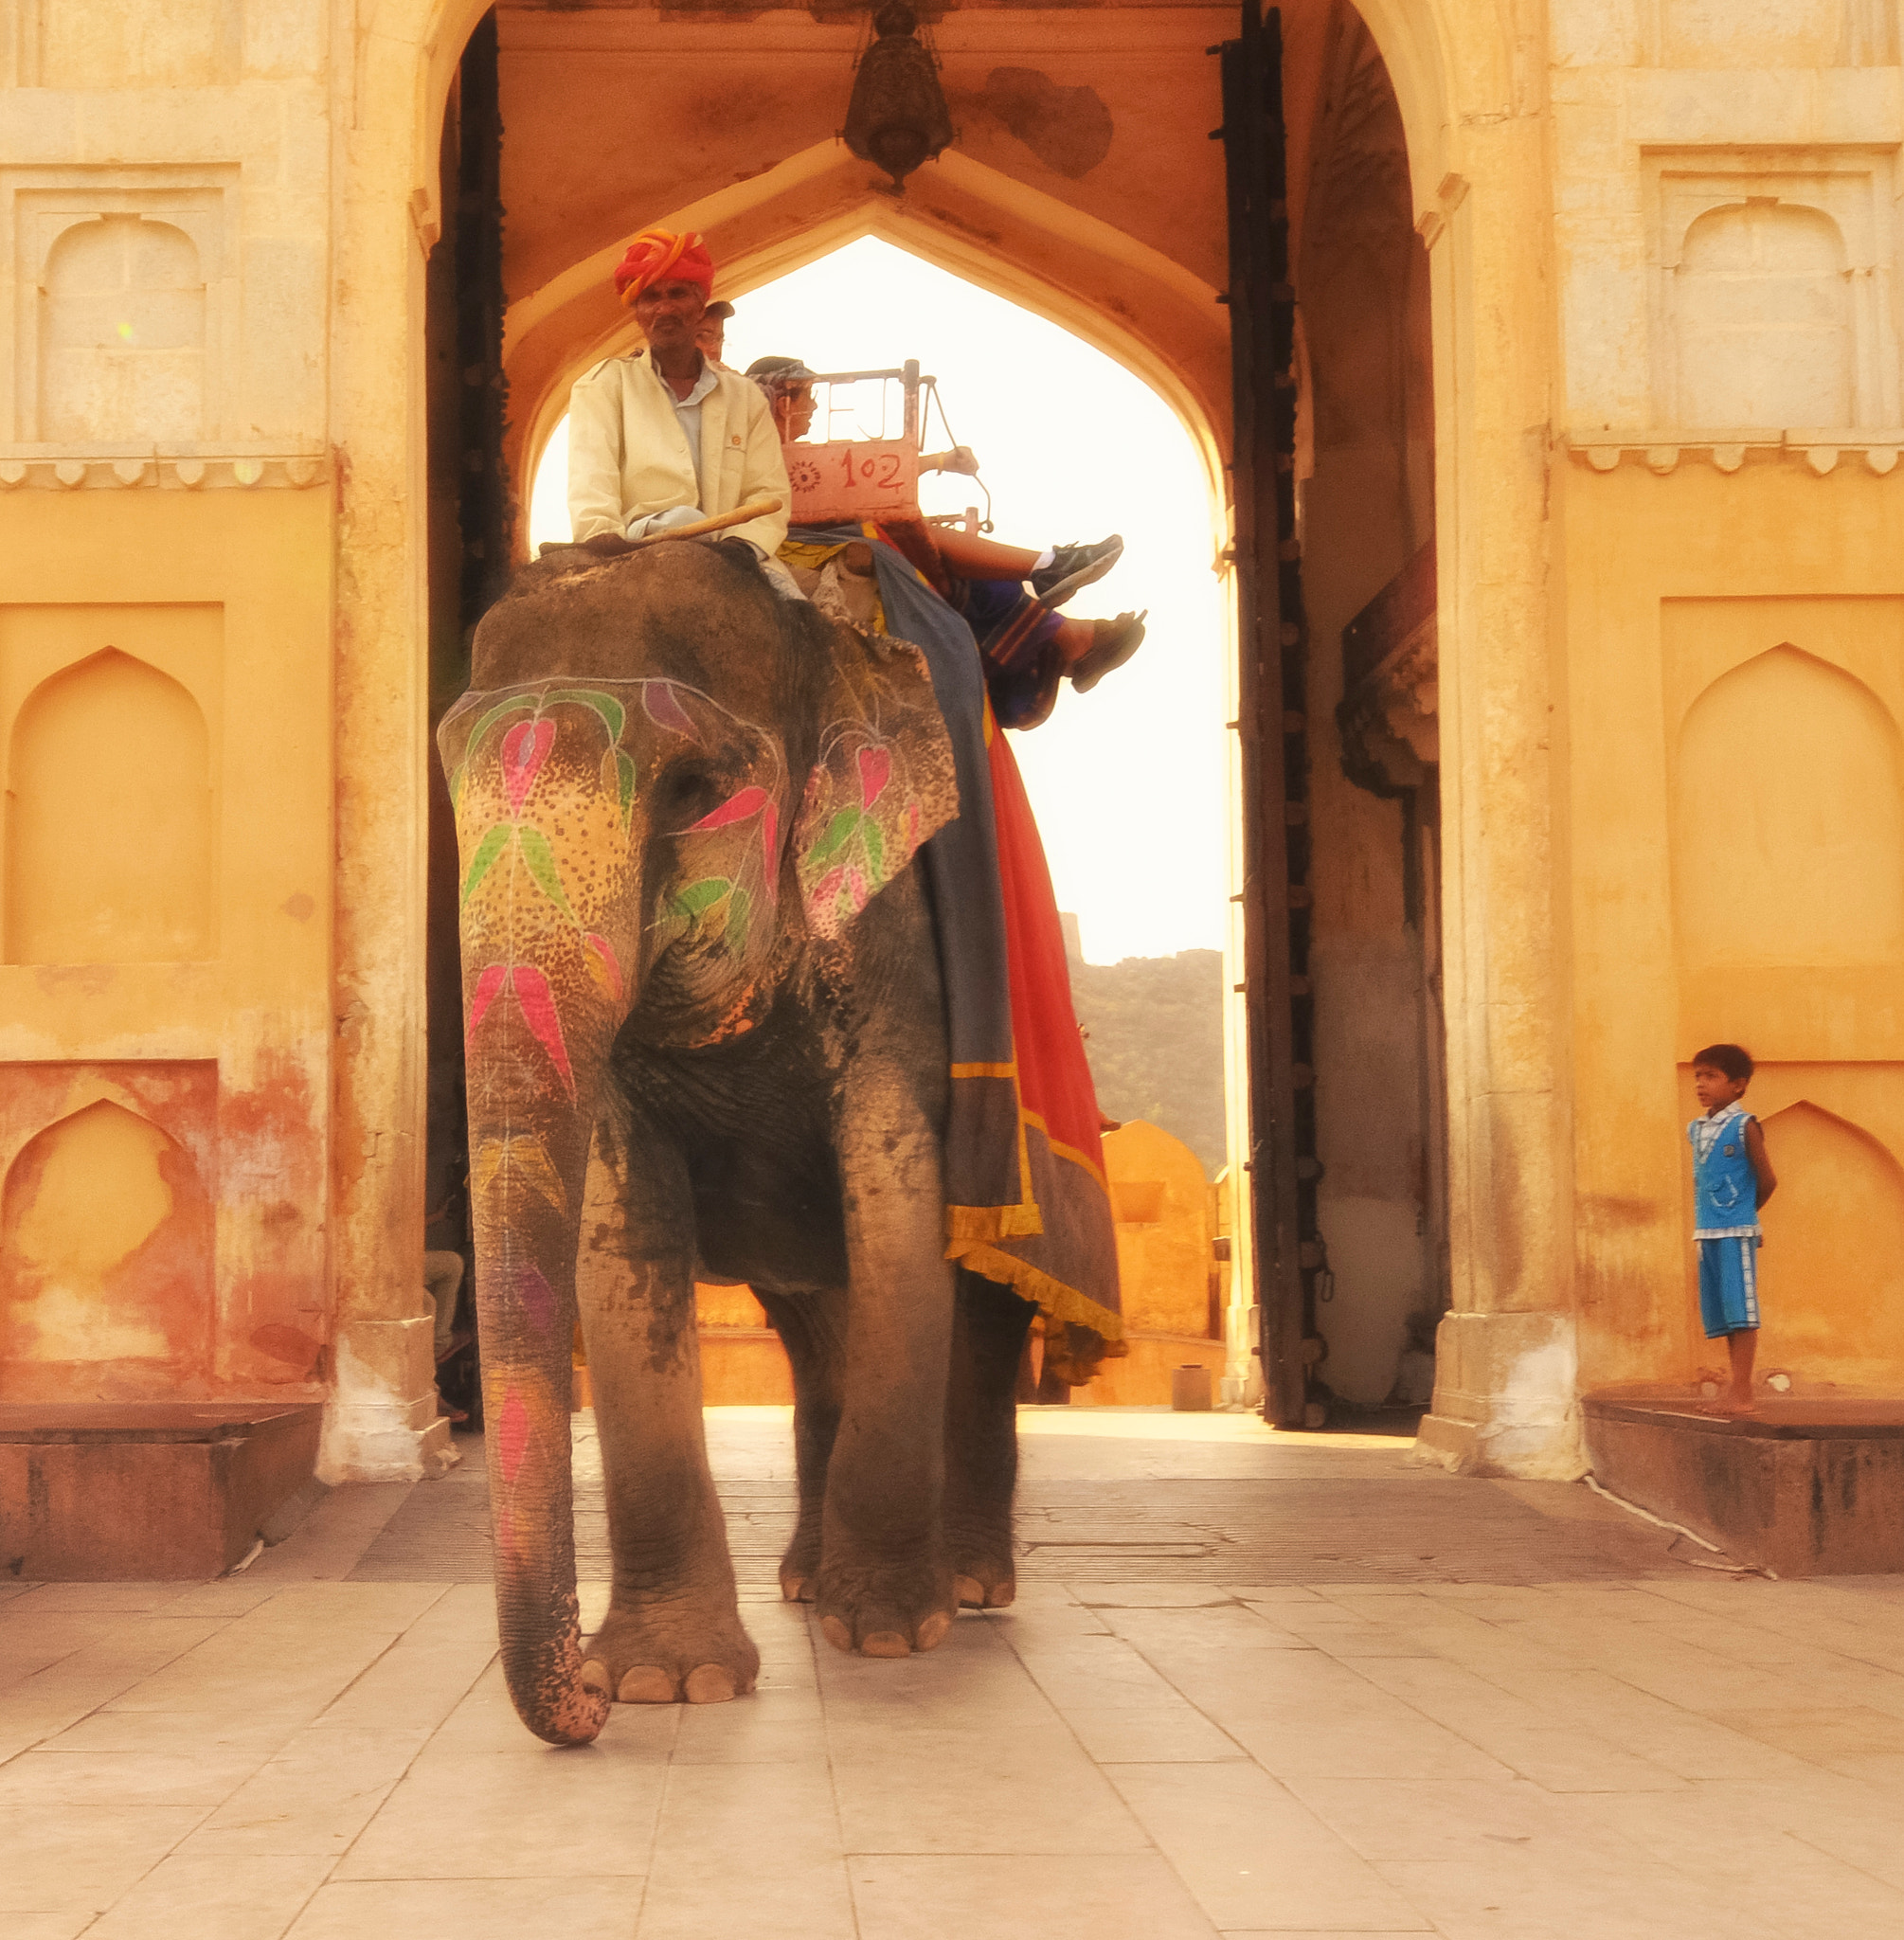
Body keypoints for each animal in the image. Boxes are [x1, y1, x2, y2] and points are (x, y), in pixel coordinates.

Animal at [439, 537, 1039, 1746]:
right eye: (443, 781)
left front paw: (891, 1635)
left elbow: (899, 1213)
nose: (581, 1704)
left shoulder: (897, 954)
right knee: (817, 1329)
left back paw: (967, 1586)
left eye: (691, 788)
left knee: (985, 1294)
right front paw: (668, 1684)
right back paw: (806, 1580)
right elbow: (619, 1256)